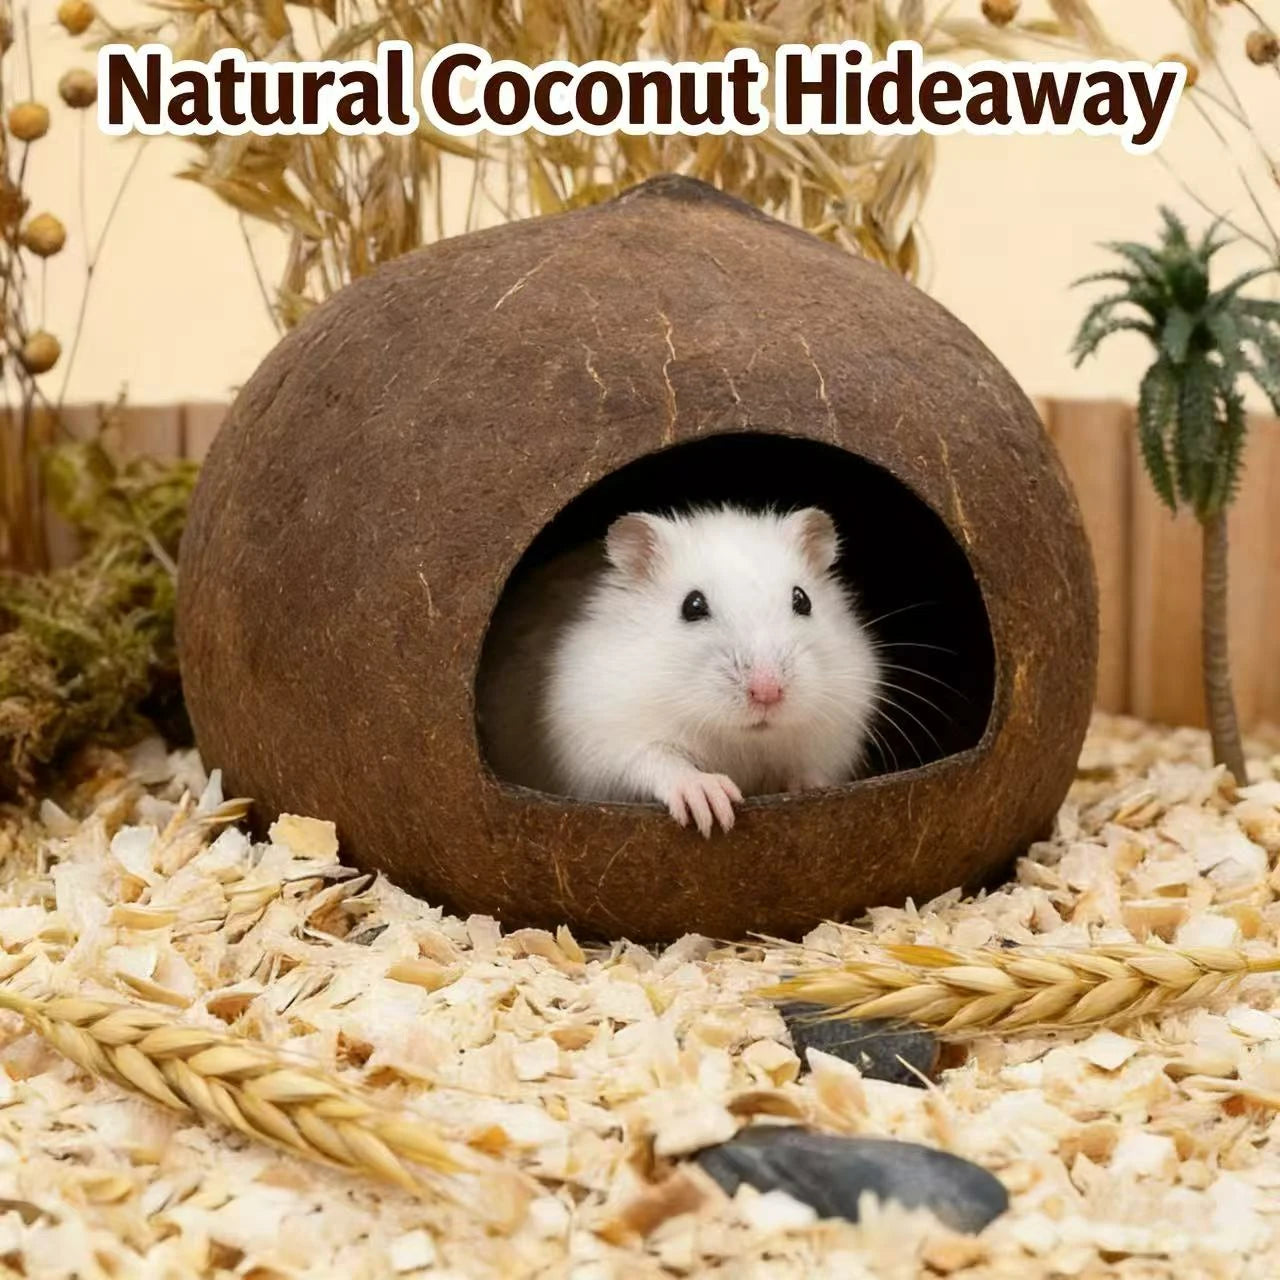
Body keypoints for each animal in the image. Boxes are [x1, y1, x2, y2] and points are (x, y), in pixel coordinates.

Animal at [476, 504, 882, 838]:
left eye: (802, 600)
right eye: (693, 605)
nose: (768, 693)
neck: (740, 738)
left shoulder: (834, 729)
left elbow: (808, 766)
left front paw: (811, 787)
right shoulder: (606, 735)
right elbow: (659, 759)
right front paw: (712, 803)